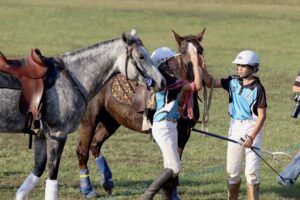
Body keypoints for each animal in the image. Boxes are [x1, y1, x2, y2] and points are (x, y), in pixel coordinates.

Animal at [0, 30, 165, 199]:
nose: (162, 81)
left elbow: (37, 169)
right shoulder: (58, 134)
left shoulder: (41, 135)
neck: (74, 77)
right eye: (141, 56)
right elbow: (52, 174)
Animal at [75, 28, 206, 198]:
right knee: (82, 150)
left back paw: (108, 182)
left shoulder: (184, 134)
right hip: (90, 118)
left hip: (111, 121)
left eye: (201, 50)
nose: (195, 74)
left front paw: (173, 195)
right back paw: (88, 189)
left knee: (95, 144)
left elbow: (175, 167)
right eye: (183, 51)